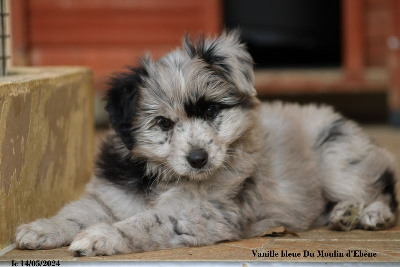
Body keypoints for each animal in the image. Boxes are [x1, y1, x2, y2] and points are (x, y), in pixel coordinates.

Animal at [14, 30, 396, 256]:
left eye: (211, 110)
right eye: (163, 123)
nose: (198, 158)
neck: (163, 177)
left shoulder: (201, 212)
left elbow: (147, 222)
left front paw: (102, 237)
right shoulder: (109, 195)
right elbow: (76, 213)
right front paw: (42, 228)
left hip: (337, 158)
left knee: (379, 189)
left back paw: (369, 214)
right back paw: (344, 214)